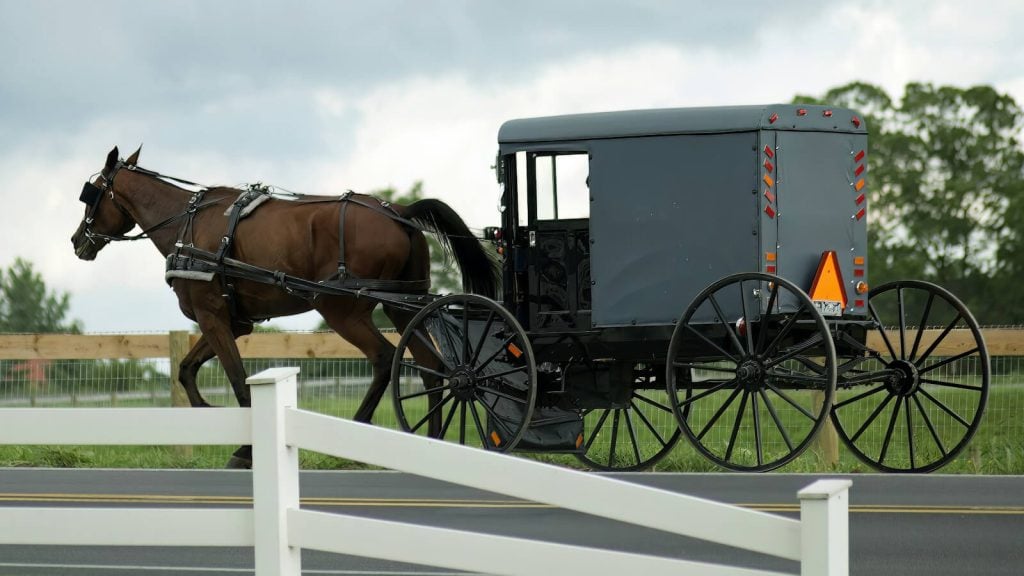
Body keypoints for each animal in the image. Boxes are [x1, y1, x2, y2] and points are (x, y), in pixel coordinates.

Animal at [71, 144, 495, 467]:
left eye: (92, 193)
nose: (77, 241)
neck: (186, 227)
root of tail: (400, 213)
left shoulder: (213, 317)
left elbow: (238, 381)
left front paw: (244, 449)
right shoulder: (232, 321)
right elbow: (187, 370)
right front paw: (209, 411)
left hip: (342, 310)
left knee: (383, 359)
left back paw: (357, 432)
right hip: (403, 306)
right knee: (432, 367)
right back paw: (432, 441)